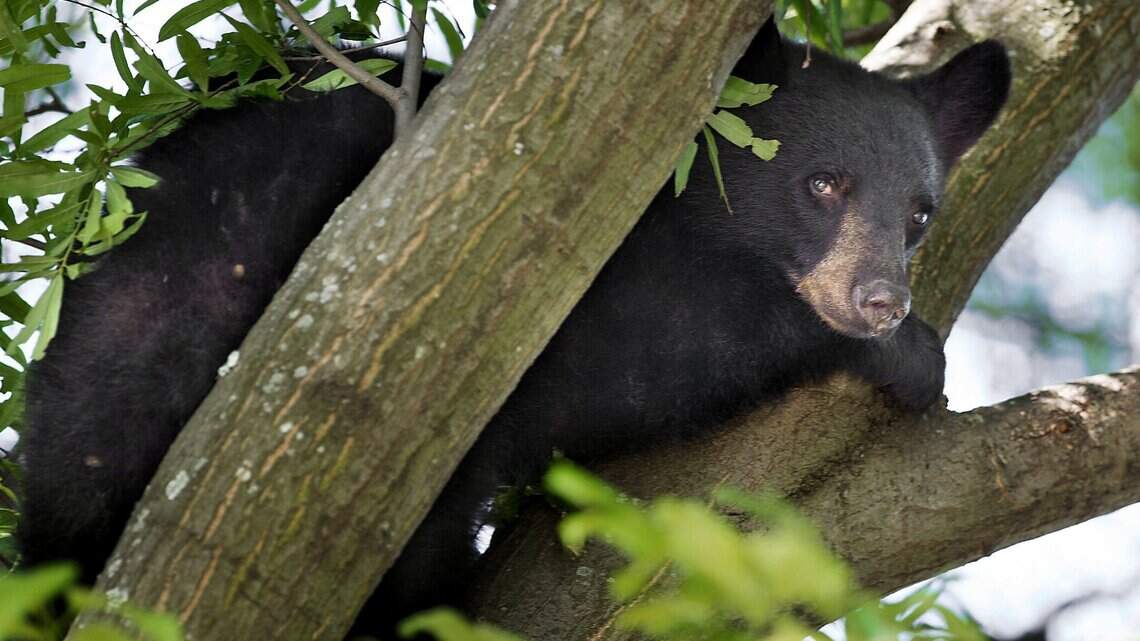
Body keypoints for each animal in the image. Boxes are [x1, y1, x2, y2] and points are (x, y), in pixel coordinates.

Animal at [17, 17, 1010, 635]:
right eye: (823, 182)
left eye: (920, 212)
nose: (880, 299)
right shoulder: (556, 279)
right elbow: (648, 353)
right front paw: (908, 356)